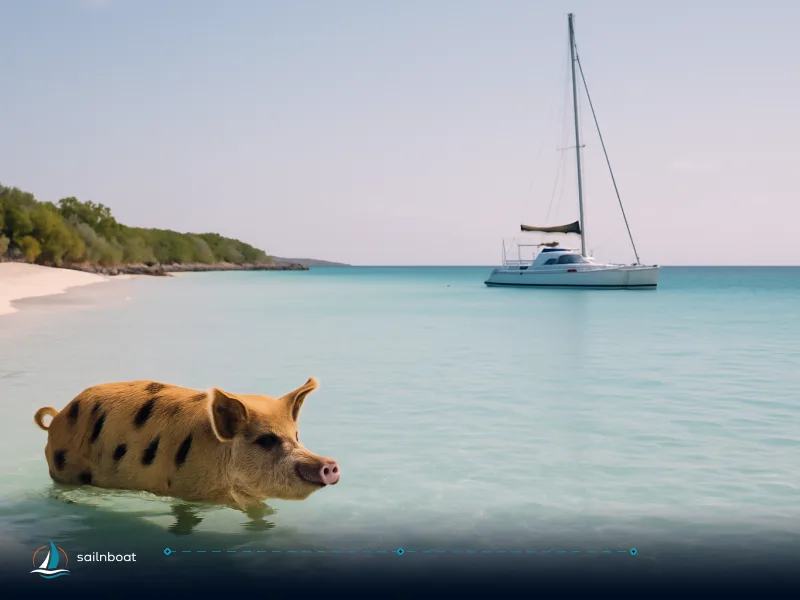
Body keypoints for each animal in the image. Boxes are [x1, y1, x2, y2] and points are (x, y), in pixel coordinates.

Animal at [33, 377, 340, 510]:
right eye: (266, 440)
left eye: (296, 436)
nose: (329, 464)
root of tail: (57, 416)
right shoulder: (186, 491)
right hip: (64, 468)